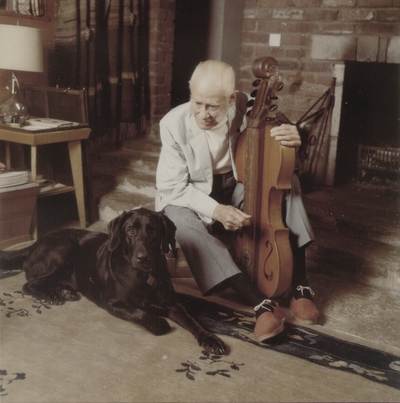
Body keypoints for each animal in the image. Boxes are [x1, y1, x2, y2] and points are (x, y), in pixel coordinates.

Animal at [0, 210, 225, 356]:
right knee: (29, 284)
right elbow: (140, 312)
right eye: (130, 231)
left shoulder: (171, 302)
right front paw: (159, 322)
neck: (143, 276)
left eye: (154, 231)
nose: (143, 258)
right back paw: (53, 295)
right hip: (65, 247)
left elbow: (191, 319)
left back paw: (64, 291)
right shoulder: (114, 303)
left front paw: (209, 337)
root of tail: (33, 244)